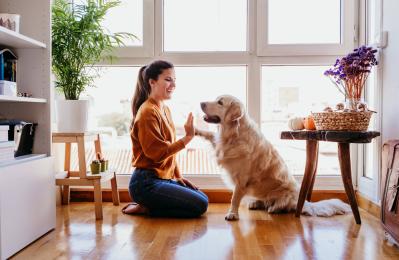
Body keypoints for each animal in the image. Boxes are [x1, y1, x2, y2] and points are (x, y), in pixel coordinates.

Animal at [196, 94, 350, 220]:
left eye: (220, 102)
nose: (201, 103)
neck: (233, 134)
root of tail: (304, 202)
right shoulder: (219, 144)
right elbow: (209, 135)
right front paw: (195, 129)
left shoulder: (241, 179)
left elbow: (234, 198)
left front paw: (232, 214)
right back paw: (255, 203)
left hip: (286, 194)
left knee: (284, 205)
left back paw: (274, 208)